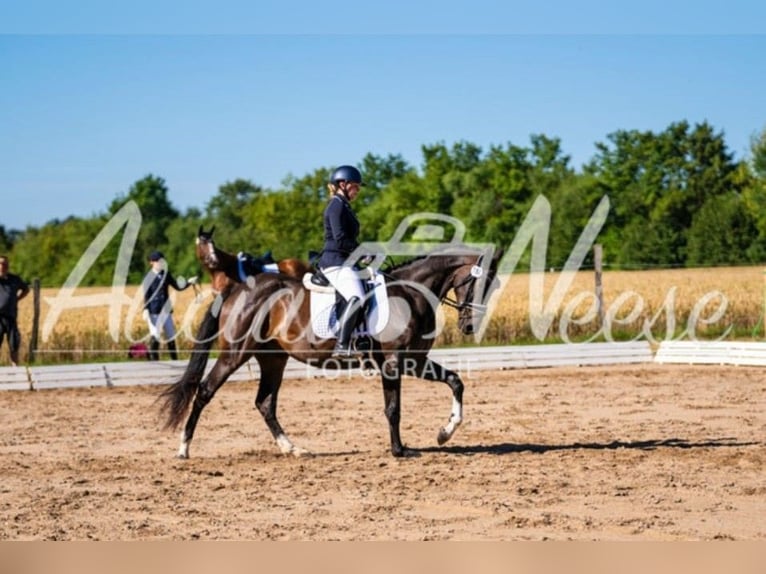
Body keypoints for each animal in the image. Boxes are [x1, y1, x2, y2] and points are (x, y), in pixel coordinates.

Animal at [158, 246, 500, 460]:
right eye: (480, 283)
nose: (469, 326)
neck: (410, 292)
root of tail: (237, 288)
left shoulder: (415, 361)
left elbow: (455, 381)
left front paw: (445, 433)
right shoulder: (395, 363)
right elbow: (393, 408)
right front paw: (400, 450)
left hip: (273, 359)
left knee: (265, 403)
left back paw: (292, 449)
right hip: (235, 354)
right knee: (204, 391)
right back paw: (183, 449)